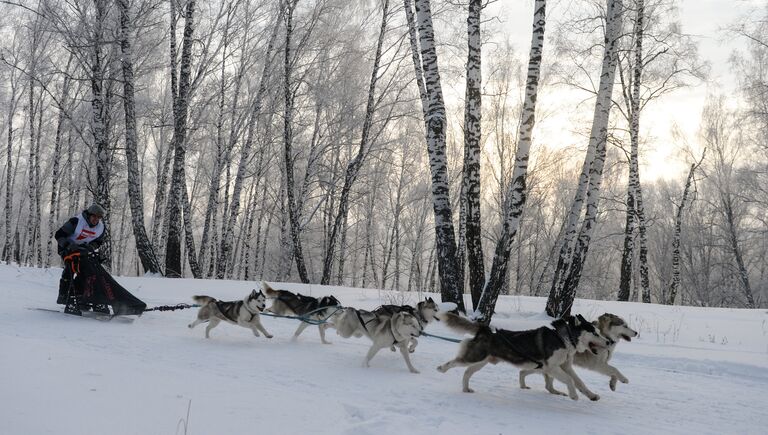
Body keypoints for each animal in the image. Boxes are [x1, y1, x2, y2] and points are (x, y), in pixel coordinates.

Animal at [436, 314, 608, 402]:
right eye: (594, 333)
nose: (608, 342)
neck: (563, 339)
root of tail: (485, 330)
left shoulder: (565, 366)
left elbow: (579, 382)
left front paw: (591, 395)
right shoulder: (551, 368)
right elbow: (570, 380)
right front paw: (573, 395)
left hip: (481, 362)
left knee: (467, 372)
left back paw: (466, 389)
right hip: (474, 357)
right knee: (454, 363)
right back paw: (441, 368)